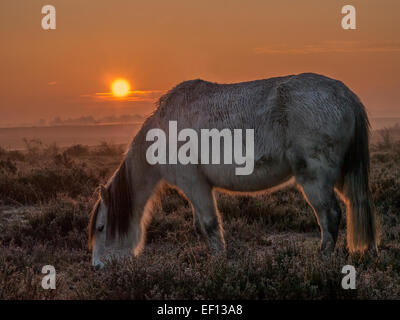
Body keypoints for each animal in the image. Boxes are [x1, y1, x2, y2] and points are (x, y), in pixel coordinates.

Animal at [88, 73, 378, 270]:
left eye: (101, 227)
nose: (97, 267)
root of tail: (346, 95)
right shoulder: (197, 188)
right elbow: (200, 226)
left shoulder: (194, 184)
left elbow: (209, 224)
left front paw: (219, 263)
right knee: (357, 204)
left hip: (315, 179)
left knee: (330, 216)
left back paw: (323, 261)